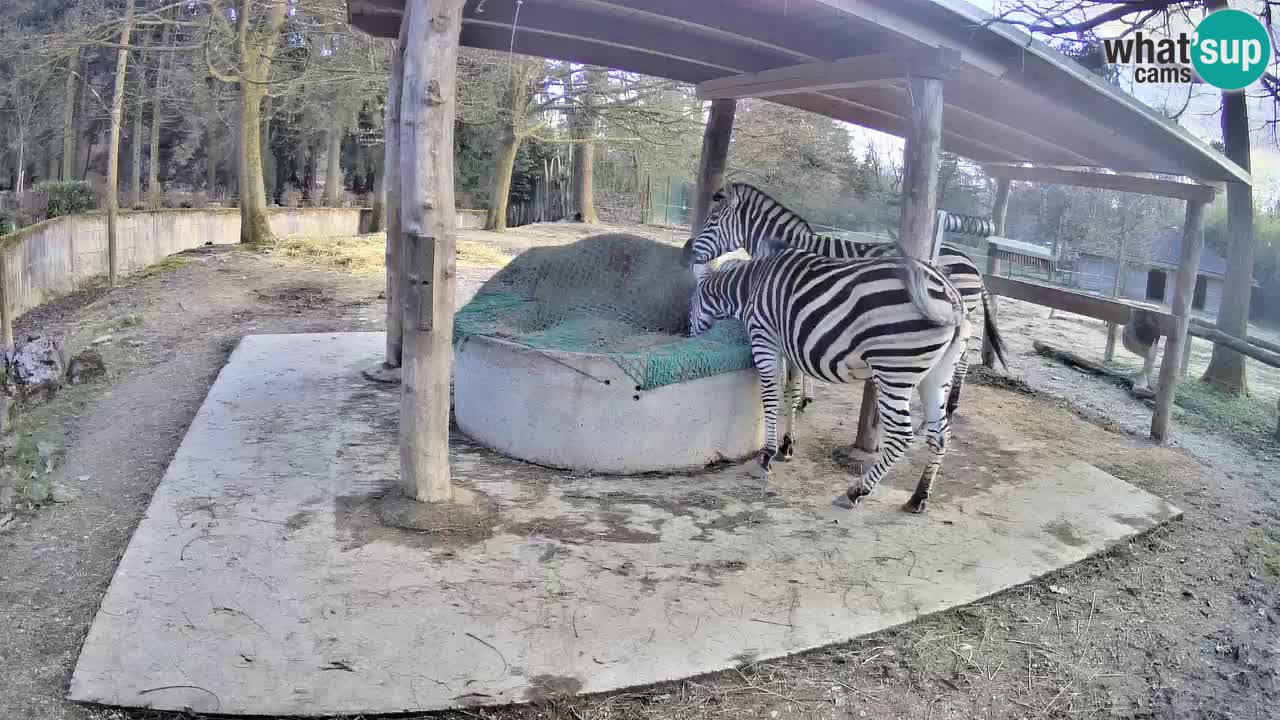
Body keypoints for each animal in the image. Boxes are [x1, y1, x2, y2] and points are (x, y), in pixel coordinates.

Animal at [682, 182, 1007, 420]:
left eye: (712, 221)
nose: (686, 249)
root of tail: (973, 265)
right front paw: (805, 397)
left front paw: (799, 398)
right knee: (959, 360)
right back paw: (948, 404)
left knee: (961, 362)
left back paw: (950, 405)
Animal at [689, 244, 972, 513]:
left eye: (690, 304)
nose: (689, 335)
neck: (749, 286)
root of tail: (952, 297)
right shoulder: (790, 346)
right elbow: (791, 394)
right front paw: (787, 446)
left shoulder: (764, 337)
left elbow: (770, 398)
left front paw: (768, 456)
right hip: (935, 376)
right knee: (941, 434)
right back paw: (918, 498)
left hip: (894, 369)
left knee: (901, 436)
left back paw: (856, 492)